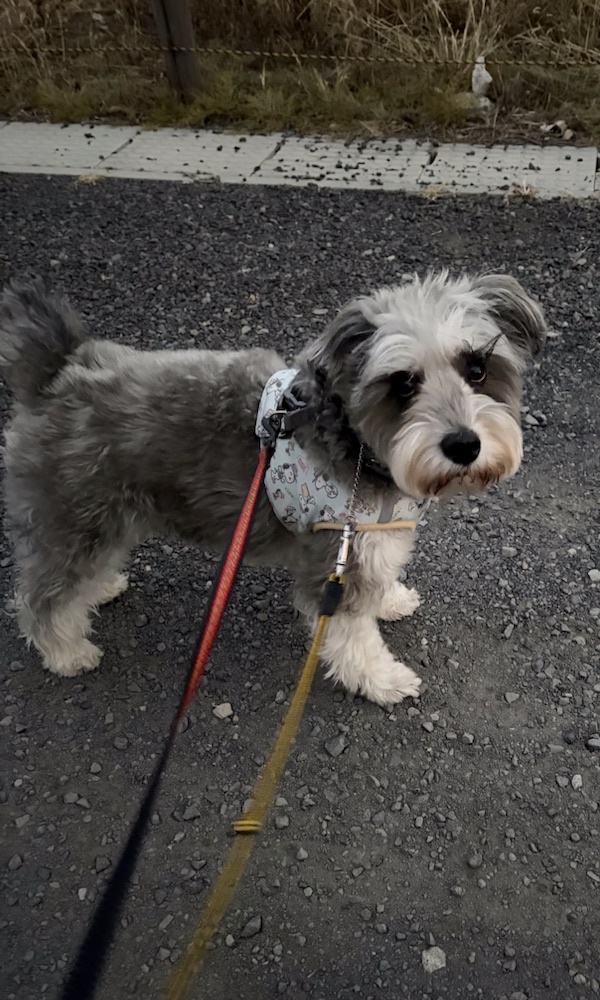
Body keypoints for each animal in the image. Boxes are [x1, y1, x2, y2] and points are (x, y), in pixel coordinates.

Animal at [0, 272, 546, 706]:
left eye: (477, 368)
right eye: (403, 384)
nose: (464, 444)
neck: (355, 442)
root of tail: (59, 371)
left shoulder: (372, 537)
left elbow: (382, 578)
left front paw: (391, 600)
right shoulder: (334, 559)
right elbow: (353, 635)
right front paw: (381, 679)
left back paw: (101, 588)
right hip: (74, 516)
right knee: (43, 595)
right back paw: (66, 651)